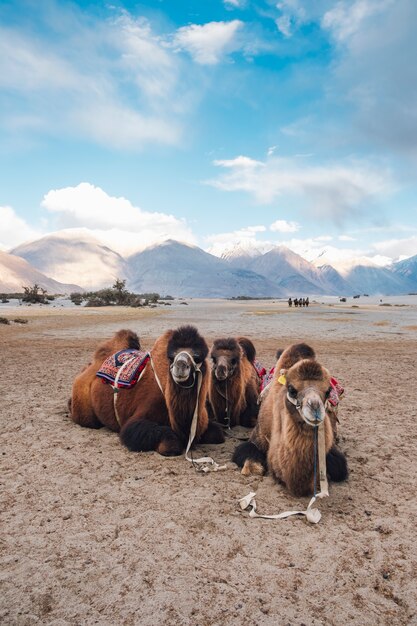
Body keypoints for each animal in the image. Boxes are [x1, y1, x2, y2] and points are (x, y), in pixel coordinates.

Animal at [69, 326, 224, 454]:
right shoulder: (138, 418)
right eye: (171, 356)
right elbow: (169, 445)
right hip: (84, 404)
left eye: (197, 357)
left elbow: (218, 434)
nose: (180, 365)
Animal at [231, 342, 348, 492]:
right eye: (292, 390)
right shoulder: (258, 436)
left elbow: (338, 467)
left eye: (328, 391)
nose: (314, 409)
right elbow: (250, 461)